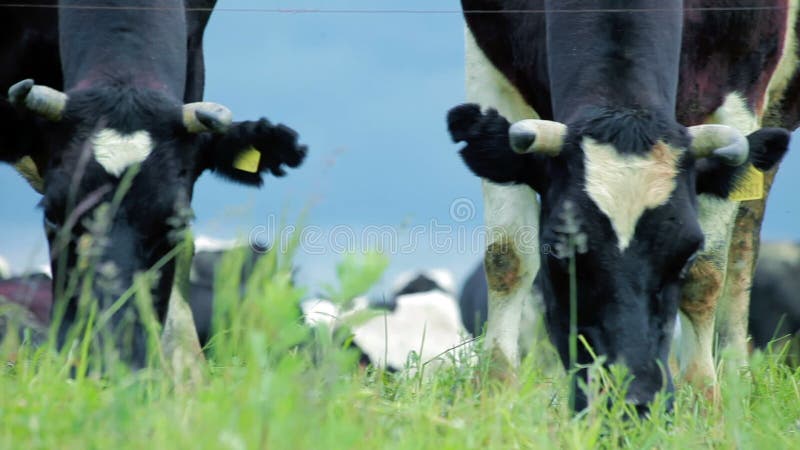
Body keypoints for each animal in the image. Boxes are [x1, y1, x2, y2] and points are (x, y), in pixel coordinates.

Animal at [446, 1, 792, 414]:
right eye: (557, 253)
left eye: (686, 253)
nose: (633, 401)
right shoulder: (489, 61)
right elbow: (507, 257)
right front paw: (495, 393)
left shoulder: (743, 76)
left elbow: (706, 275)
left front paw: (705, 399)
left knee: (743, 241)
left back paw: (736, 374)